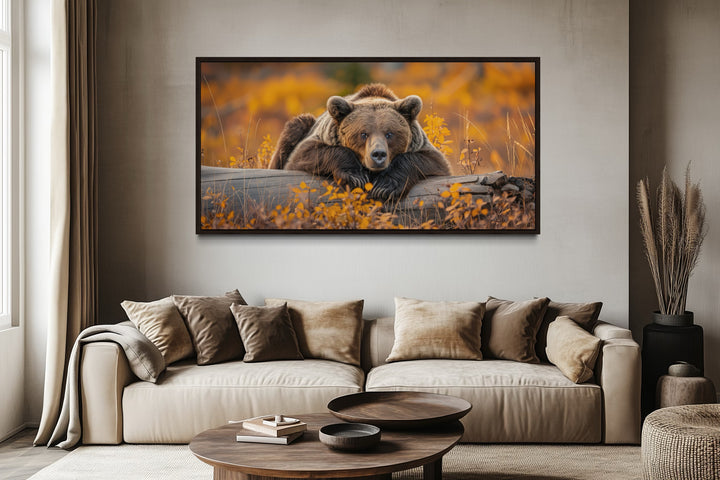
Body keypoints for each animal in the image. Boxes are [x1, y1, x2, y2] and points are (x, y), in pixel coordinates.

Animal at [269, 83, 451, 201]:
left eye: (389, 134)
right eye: (363, 134)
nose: (378, 154)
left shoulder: (422, 146)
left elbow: (432, 161)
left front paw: (385, 186)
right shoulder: (319, 138)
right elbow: (303, 155)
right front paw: (355, 177)